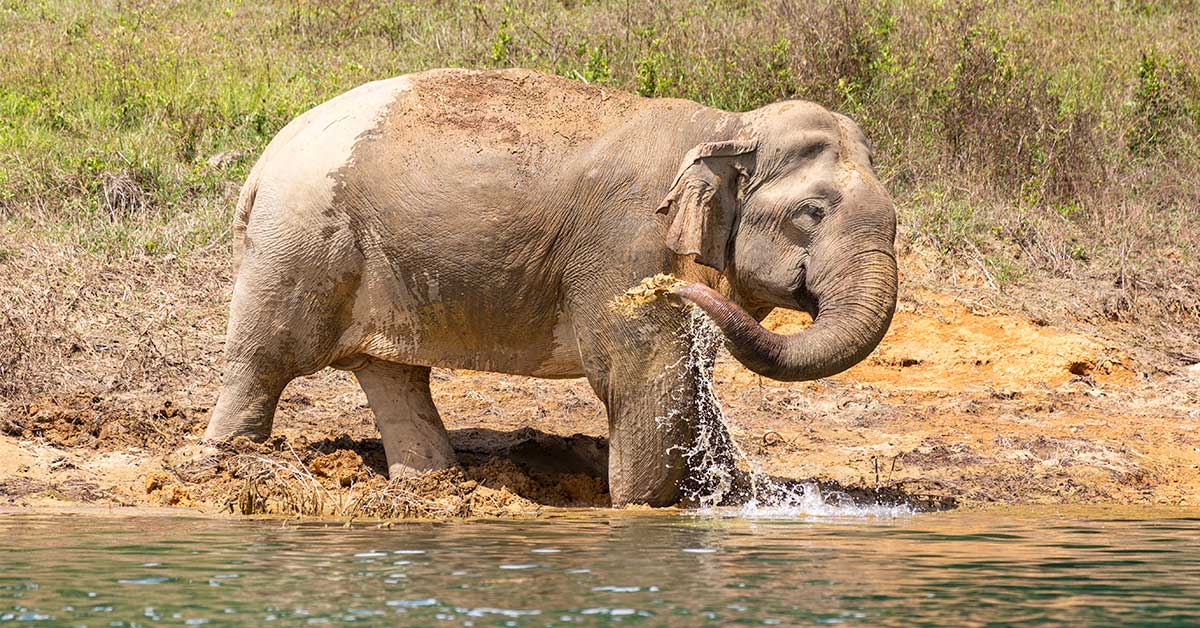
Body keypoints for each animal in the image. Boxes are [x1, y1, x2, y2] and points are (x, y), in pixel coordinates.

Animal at [202, 68, 897, 506]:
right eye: (811, 214)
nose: (668, 291)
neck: (728, 124)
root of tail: (263, 164)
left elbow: (687, 380)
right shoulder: (627, 246)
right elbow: (645, 373)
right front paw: (649, 511)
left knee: (391, 373)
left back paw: (435, 486)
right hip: (302, 243)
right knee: (268, 357)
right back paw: (229, 467)